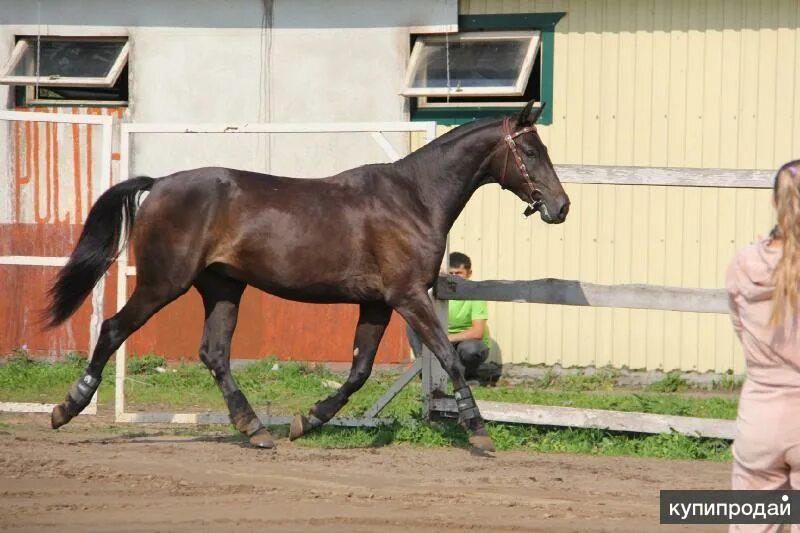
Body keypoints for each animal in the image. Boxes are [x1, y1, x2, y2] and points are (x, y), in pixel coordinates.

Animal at [45, 100, 568, 448]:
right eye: (532, 152)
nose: (561, 207)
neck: (413, 199)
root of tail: (158, 185)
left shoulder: (377, 303)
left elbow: (359, 371)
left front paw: (307, 420)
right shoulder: (409, 297)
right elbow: (449, 359)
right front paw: (478, 430)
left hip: (223, 287)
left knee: (214, 354)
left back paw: (255, 429)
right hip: (163, 284)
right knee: (114, 329)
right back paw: (66, 407)